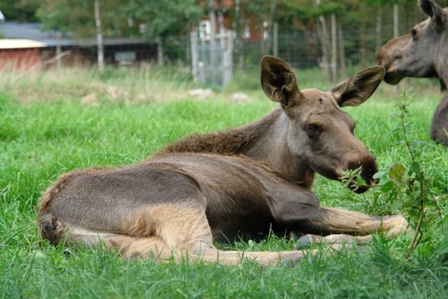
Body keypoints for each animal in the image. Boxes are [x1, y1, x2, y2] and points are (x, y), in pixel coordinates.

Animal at [38, 56, 410, 268]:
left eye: (352, 124)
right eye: (313, 127)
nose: (367, 168)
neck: (286, 170)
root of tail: (50, 217)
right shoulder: (292, 207)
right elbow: (397, 221)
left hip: (131, 242)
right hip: (180, 193)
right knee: (201, 254)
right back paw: (321, 254)